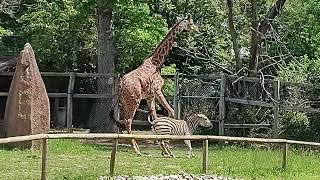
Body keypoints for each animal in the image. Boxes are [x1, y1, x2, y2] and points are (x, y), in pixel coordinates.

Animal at [116, 14, 199, 155]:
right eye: (190, 23)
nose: (197, 30)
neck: (157, 63)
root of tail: (121, 85)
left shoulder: (150, 96)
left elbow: (155, 117)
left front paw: (162, 147)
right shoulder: (157, 90)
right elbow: (172, 112)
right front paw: (167, 146)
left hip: (125, 101)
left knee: (123, 120)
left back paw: (134, 146)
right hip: (134, 100)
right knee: (128, 120)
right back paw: (136, 149)